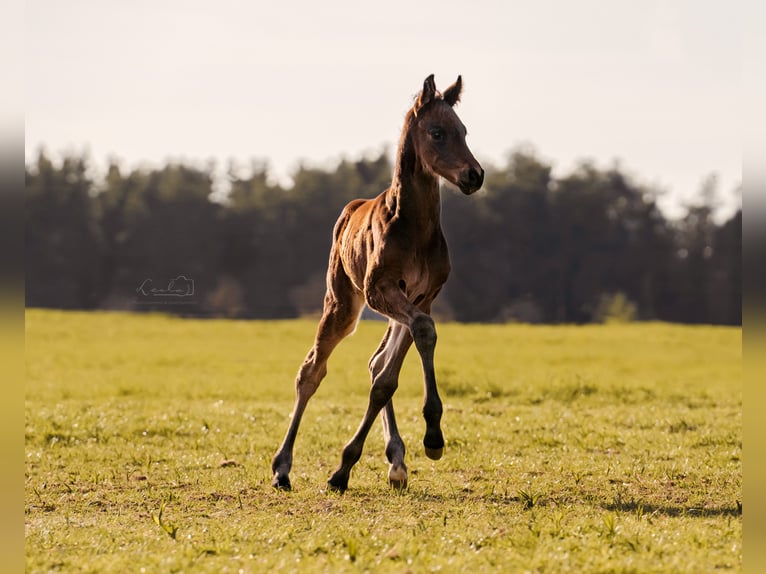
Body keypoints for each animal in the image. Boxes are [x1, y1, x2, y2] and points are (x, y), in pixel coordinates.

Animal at [271, 74, 484, 492]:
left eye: (464, 131)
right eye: (437, 132)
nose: (474, 175)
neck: (414, 228)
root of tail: (350, 209)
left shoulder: (424, 296)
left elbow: (393, 368)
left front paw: (428, 441)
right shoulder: (378, 289)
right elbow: (407, 349)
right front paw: (344, 469)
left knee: (376, 362)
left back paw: (396, 460)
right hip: (342, 301)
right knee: (311, 370)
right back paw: (282, 468)